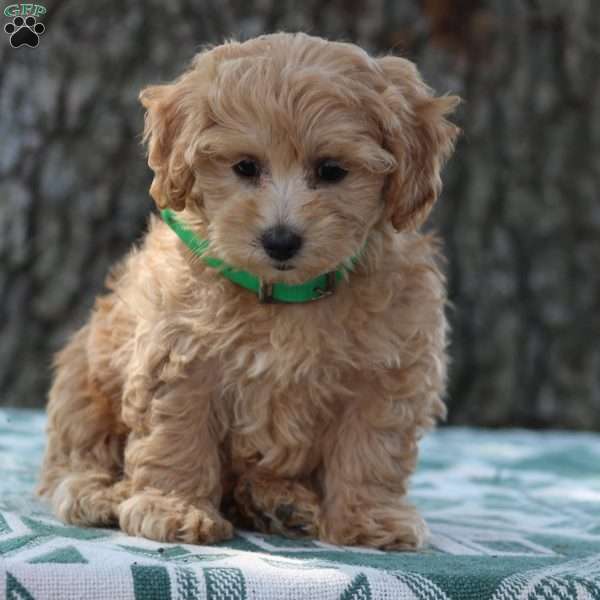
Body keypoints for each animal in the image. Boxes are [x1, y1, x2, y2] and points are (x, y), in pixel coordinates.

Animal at [37, 31, 460, 548]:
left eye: (332, 170)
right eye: (245, 166)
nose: (280, 239)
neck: (286, 297)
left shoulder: (388, 371)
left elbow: (372, 448)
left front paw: (370, 518)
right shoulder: (179, 359)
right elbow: (177, 437)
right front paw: (172, 509)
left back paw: (277, 501)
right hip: (83, 382)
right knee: (75, 458)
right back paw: (100, 494)